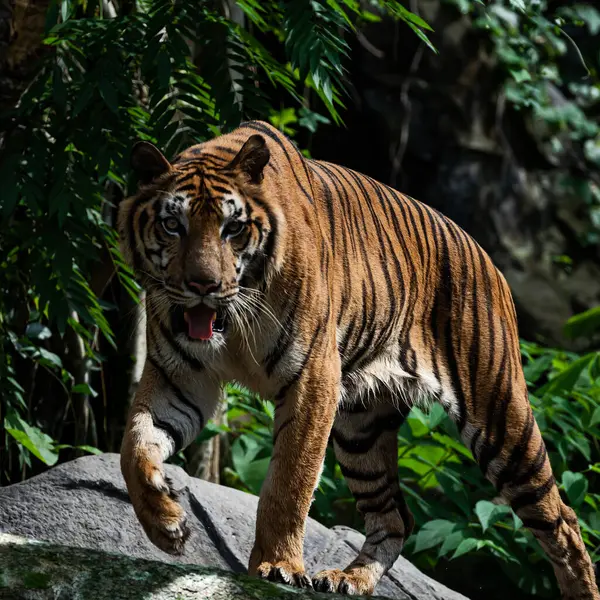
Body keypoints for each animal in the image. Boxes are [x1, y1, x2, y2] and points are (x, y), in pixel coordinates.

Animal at [117, 119, 600, 596]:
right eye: (173, 225)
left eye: (232, 229)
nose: (204, 286)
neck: (232, 325)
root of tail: (489, 259)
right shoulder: (180, 379)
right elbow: (134, 445)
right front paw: (165, 522)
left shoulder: (313, 379)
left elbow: (289, 481)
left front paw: (277, 565)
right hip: (361, 429)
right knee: (397, 517)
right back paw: (348, 579)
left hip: (501, 420)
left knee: (564, 522)